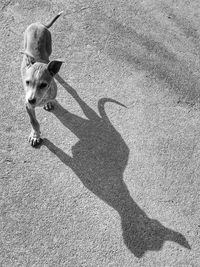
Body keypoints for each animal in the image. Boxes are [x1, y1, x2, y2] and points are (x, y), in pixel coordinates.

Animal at [21, 11, 63, 148]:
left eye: (43, 85)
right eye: (27, 82)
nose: (31, 100)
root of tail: (39, 24)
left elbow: (50, 99)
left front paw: (48, 103)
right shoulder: (27, 106)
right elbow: (33, 121)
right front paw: (35, 136)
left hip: (50, 45)